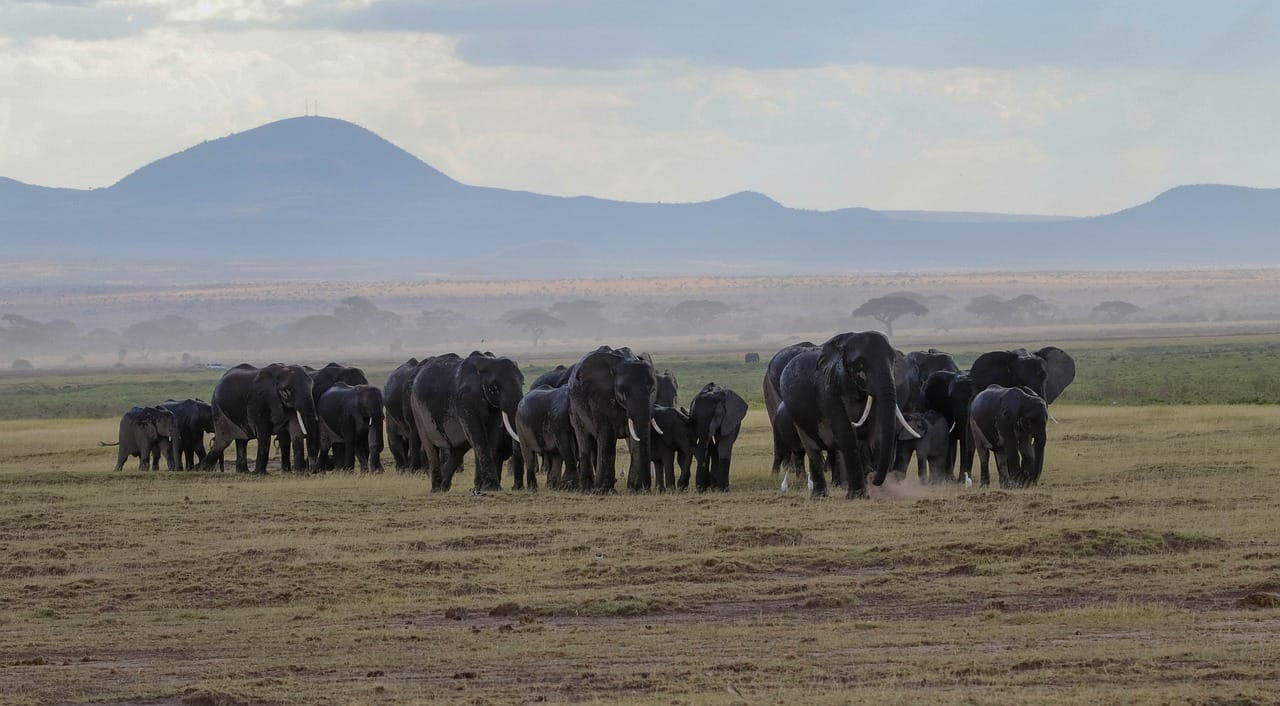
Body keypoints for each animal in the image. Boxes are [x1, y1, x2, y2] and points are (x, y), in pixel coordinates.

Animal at [412, 350, 527, 493]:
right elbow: (479, 437)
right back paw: (436, 489)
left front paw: (482, 488)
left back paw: (444, 487)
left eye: (523, 383)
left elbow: (492, 436)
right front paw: (492, 487)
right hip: (417, 411)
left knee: (458, 450)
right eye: (495, 387)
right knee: (430, 447)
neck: (486, 363)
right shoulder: (465, 399)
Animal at [565, 345, 655, 491]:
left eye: (652, 389)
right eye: (623, 391)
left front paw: (636, 489)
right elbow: (607, 434)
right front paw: (602, 490)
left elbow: (635, 437)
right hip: (574, 408)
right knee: (584, 438)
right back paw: (587, 489)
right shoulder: (599, 396)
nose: (645, 487)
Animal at [773, 329, 916, 496]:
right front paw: (858, 496)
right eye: (860, 363)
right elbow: (846, 433)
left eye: (893, 361)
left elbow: (876, 435)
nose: (873, 478)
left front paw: (881, 492)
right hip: (796, 418)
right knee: (811, 449)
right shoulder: (828, 391)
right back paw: (818, 495)